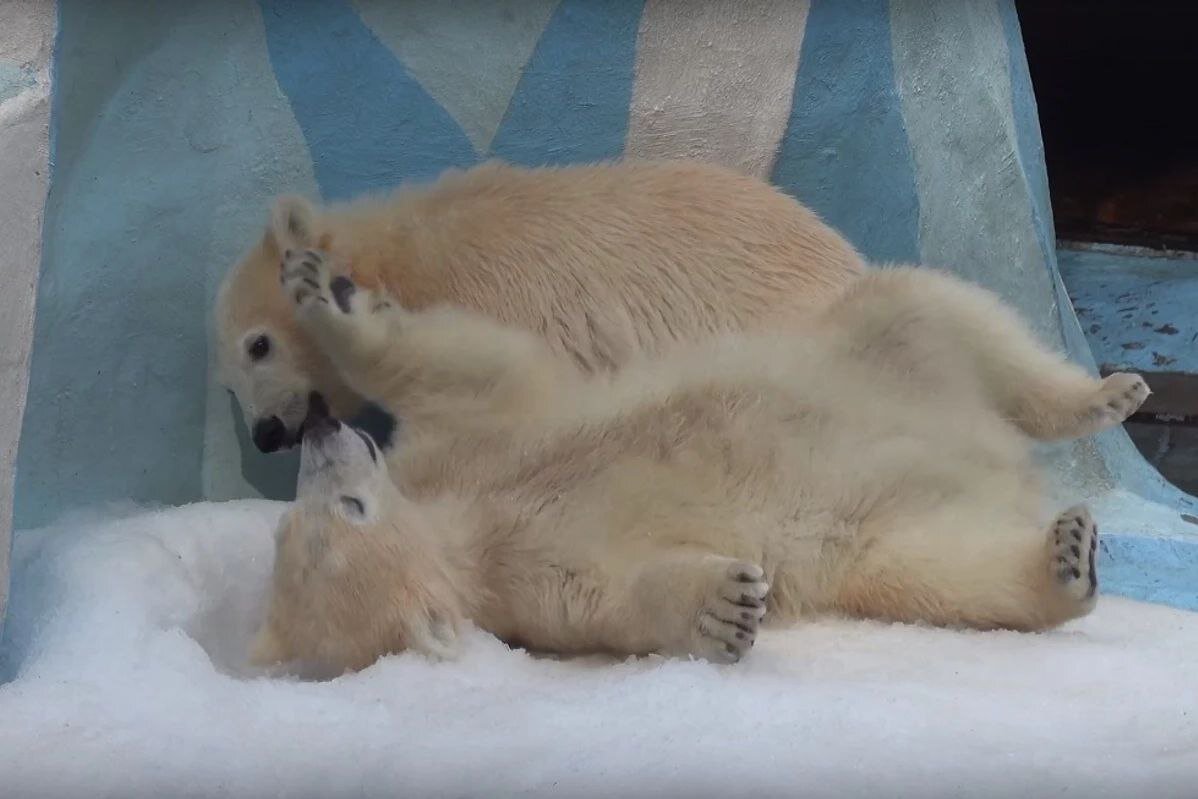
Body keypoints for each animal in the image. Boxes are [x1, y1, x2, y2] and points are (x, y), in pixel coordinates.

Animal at [247, 251, 1145, 675]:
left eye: (330, 510)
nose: (317, 430)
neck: (465, 517)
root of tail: (1003, 464)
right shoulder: (516, 584)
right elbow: (615, 600)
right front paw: (726, 607)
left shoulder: (476, 437)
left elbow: (464, 362)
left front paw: (317, 292)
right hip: (890, 532)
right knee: (941, 571)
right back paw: (1063, 557)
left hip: (875, 345)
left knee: (937, 307)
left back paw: (1102, 394)